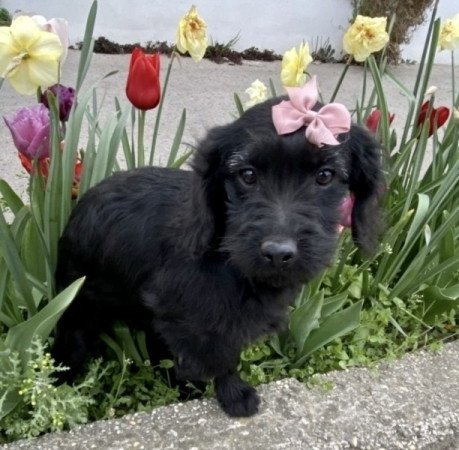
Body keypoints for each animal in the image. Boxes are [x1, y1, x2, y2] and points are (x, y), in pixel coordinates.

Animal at [53, 92, 384, 418]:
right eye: (247, 175)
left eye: (325, 176)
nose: (278, 253)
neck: (227, 256)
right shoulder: (192, 319)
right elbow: (219, 355)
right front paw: (232, 394)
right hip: (79, 302)